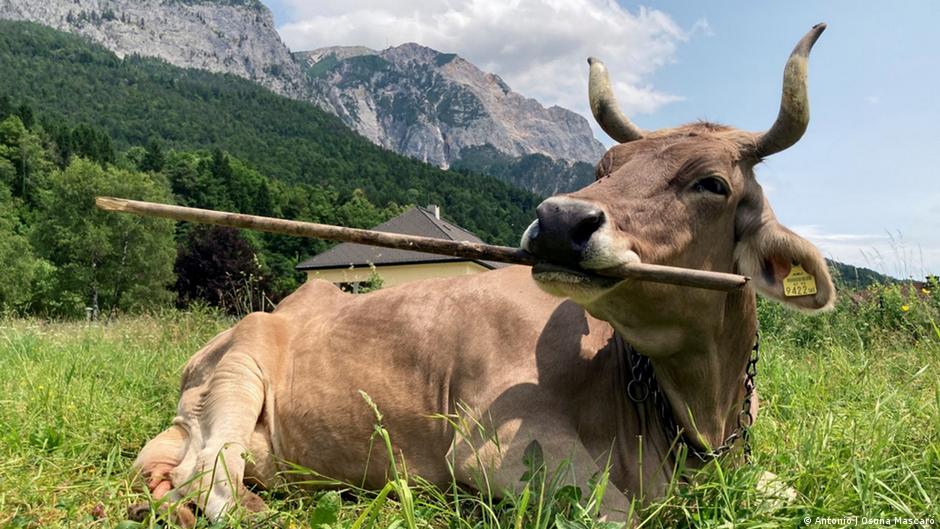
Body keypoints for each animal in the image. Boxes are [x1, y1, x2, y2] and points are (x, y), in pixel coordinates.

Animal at [128, 24, 834, 527]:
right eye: (603, 167)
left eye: (712, 183)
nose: (559, 220)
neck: (696, 414)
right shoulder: (501, 450)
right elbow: (619, 515)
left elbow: (793, 491)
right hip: (239, 369)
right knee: (209, 478)